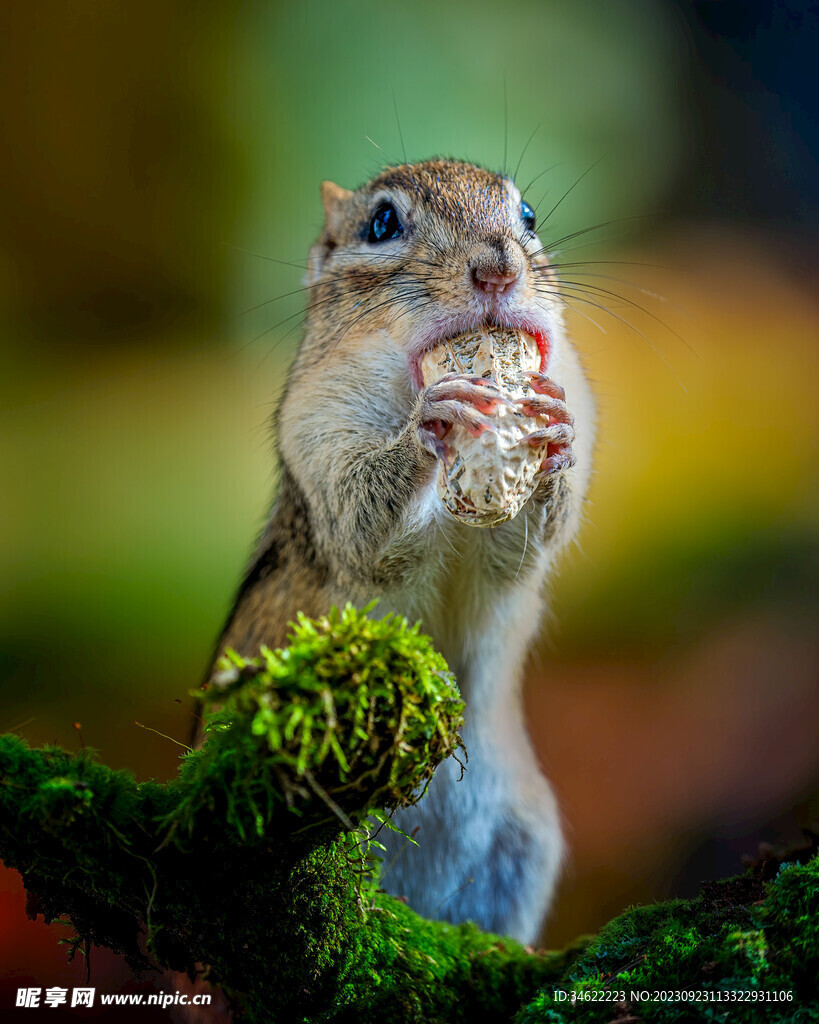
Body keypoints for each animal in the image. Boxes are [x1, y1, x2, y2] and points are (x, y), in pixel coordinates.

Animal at [198, 159, 593, 942]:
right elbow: (365, 527)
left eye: (528, 216)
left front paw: (554, 431)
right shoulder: (318, 439)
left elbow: (524, 546)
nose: (498, 268)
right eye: (382, 224)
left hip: (523, 842)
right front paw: (430, 421)